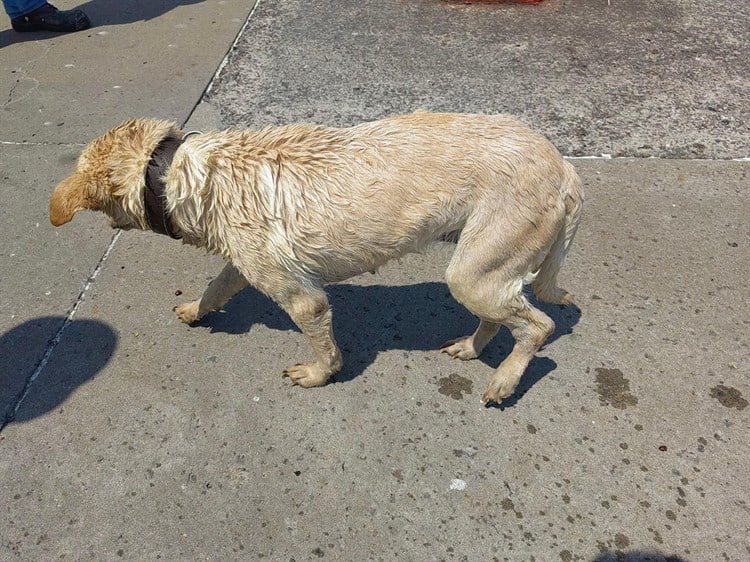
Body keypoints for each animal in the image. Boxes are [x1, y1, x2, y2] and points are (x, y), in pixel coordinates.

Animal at [50, 112, 584, 402]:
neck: (172, 171)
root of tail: (563, 163)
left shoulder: (304, 299)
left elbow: (324, 346)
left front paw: (319, 375)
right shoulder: (244, 265)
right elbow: (216, 287)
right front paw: (195, 311)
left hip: (473, 273)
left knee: (538, 326)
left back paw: (505, 380)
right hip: (481, 270)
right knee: (502, 315)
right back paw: (473, 348)